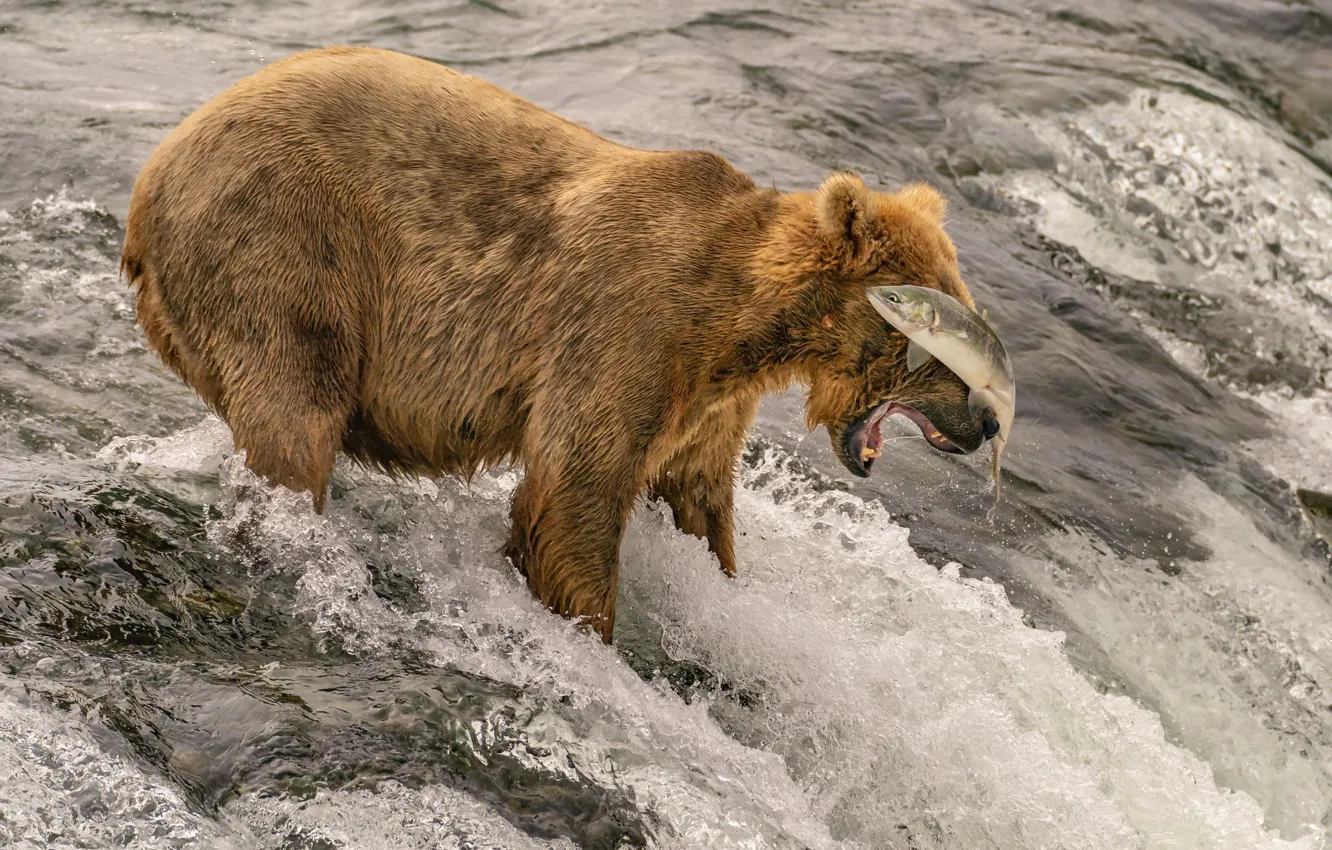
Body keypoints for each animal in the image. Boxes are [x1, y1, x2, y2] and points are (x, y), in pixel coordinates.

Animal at [120, 46, 992, 643]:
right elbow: (575, 489)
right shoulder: (626, 329)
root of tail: (151, 175)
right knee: (294, 414)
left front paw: (720, 587)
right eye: (936, 341)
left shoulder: (708, 403)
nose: (985, 419)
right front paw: (592, 630)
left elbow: (699, 498)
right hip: (285, 246)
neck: (742, 323)